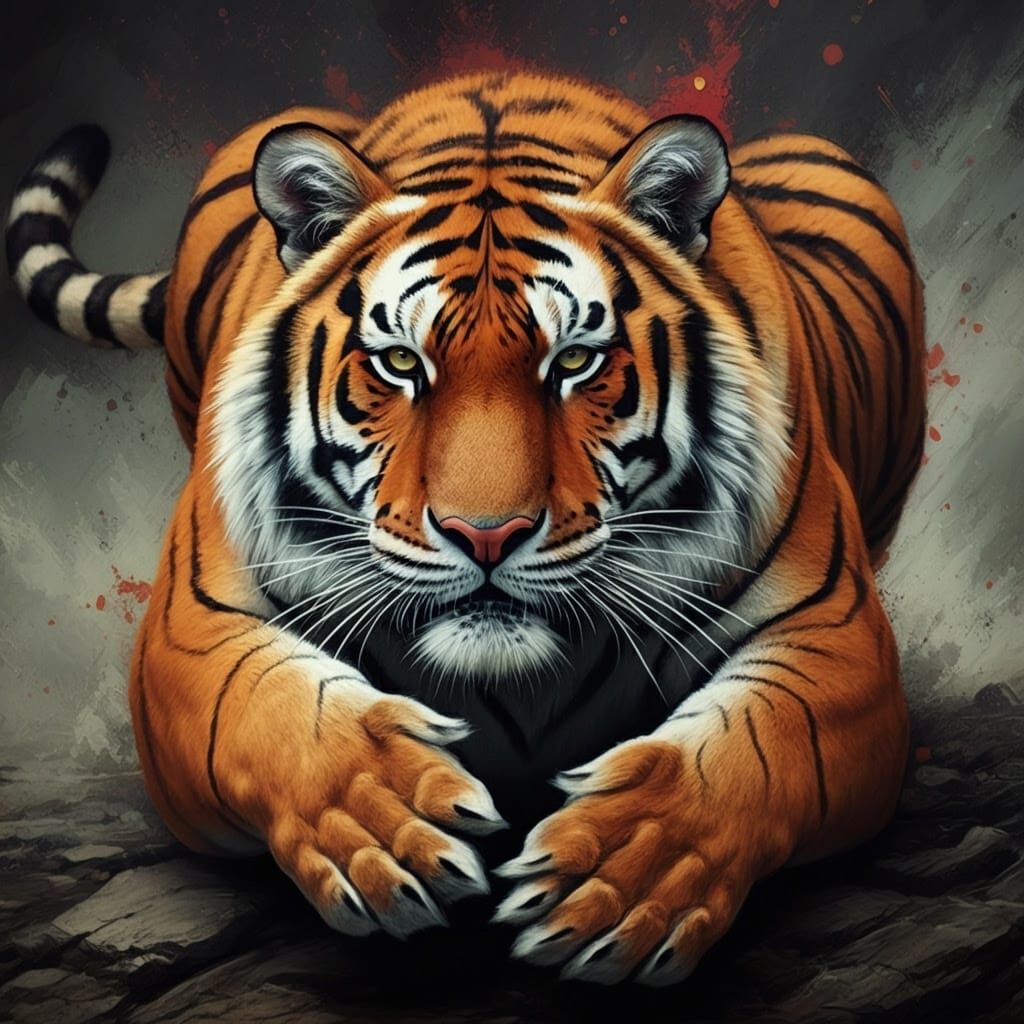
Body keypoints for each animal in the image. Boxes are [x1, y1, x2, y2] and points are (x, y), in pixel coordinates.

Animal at [6, 70, 925, 986]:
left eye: (575, 360)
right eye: (400, 363)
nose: (486, 536)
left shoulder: (839, 635)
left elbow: (757, 748)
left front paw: (621, 873)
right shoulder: (187, 628)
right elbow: (267, 706)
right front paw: (385, 824)